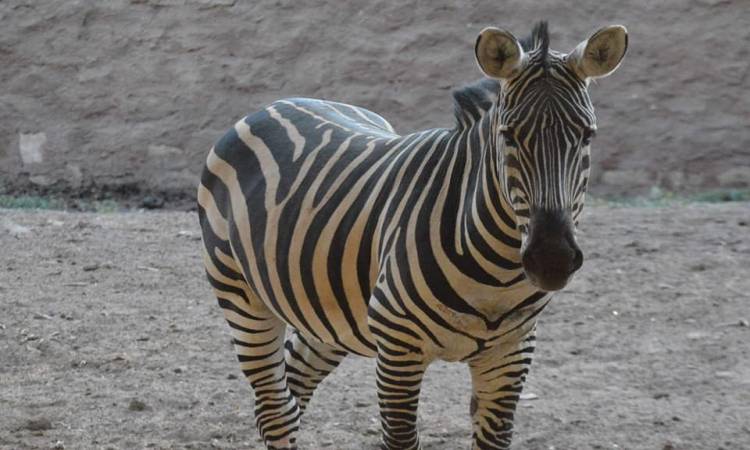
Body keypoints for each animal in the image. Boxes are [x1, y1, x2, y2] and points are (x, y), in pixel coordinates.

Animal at [198, 19, 628, 448]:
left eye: (587, 135)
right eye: (509, 136)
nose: (552, 259)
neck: (497, 274)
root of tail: (275, 104)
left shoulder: (511, 351)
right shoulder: (398, 347)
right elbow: (401, 437)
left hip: (326, 313)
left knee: (294, 385)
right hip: (240, 294)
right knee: (276, 410)